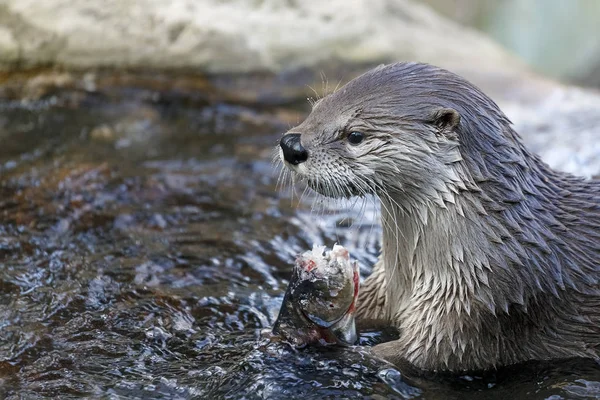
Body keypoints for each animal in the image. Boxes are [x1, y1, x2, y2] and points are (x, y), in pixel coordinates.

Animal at [278, 61, 600, 372]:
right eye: (317, 107)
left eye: (355, 135)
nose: (291, 145)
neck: (494, 241)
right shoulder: (387, 287)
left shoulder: (478, 306)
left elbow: (414, 356)